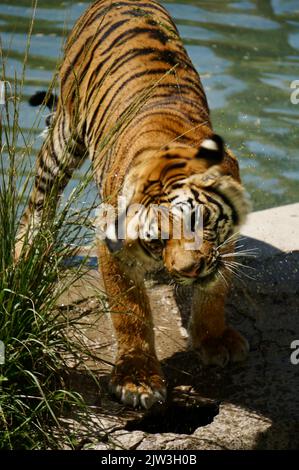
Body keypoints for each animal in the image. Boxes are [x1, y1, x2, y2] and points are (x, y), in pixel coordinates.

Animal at [16, 0, 251, 410]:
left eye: (197, 221)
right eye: (156, 240)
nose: (187, 271)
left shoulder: (226, 237)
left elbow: (216, 289)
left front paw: (214, 340)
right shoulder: (111, 243)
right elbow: (130, 310)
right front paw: (137, 379)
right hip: (64, 135)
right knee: (40, 199)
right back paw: (24, 253)